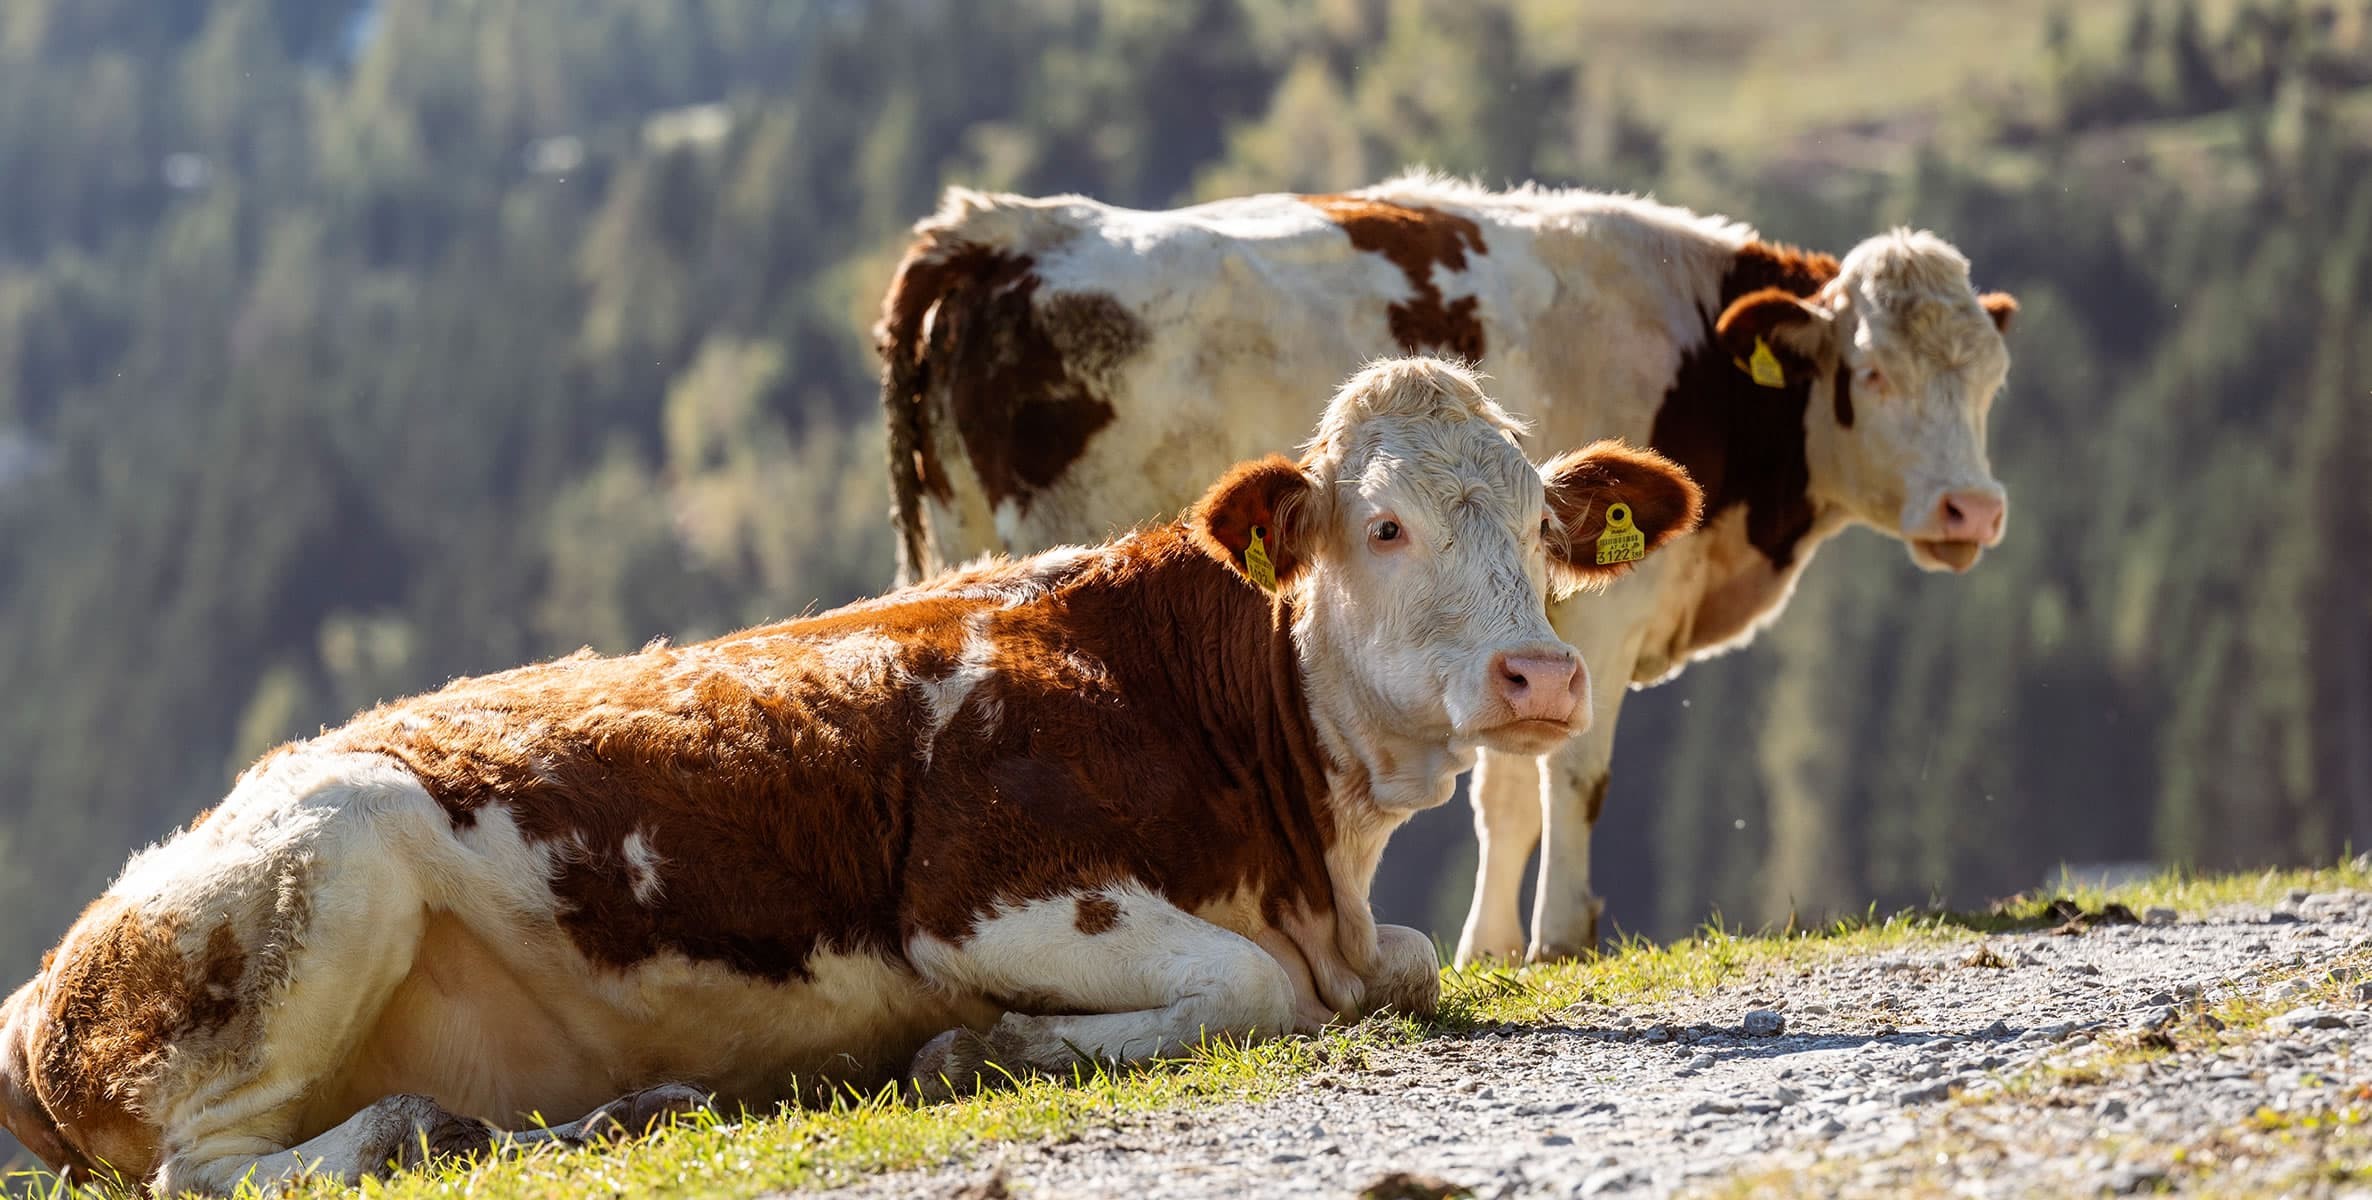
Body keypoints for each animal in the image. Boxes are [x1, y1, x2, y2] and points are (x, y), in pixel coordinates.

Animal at [0, 358, 1701, 1194]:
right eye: (1386, 525)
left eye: (1543, 524)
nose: (1541, 678)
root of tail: (39, 990)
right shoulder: (987, 896)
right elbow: (1251, 988)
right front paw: (979, 1054)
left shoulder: (1351, 925)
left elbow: (1401, 962)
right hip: (327, 865)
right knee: (208, 1171)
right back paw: (432, 1135)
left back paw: (602, 1118)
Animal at [878, 172, 2018, 964]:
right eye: (1869, 372)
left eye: (1991, 381)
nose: (1973, 508)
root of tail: (1007, 227)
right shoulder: (1597, 621)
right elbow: (1566, 777)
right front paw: (1552, 938)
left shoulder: (1521, 630)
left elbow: (1507, 785)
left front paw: (1497, 947)